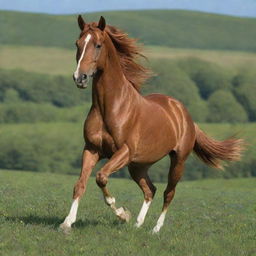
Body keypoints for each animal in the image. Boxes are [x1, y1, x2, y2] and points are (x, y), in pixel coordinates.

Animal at [59, 15, 244, 233]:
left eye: (97, 45)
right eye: (77, 44)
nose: (79, 78)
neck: (110, 107)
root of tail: (184, 113)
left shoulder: (124, 151)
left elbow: (101, 177)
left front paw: (122, 214)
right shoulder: (92, 149)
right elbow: (80, 184)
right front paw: (67, 223)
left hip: (177, 161)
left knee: (168, 193)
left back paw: (155, 229)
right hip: (138, 165)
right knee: (150, 189)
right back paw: (138, 223)